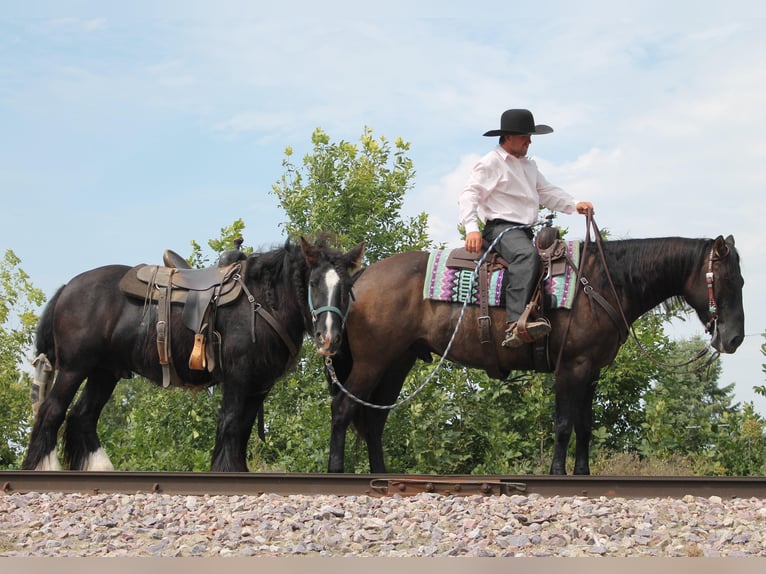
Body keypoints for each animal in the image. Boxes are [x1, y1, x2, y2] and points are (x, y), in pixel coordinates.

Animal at [21, 236, 364, 474]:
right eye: (313, 282)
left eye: (347, 286)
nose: (329, 337)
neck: (262, 302)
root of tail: (67, 288)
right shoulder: (238, 377)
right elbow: (230, 424)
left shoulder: (258, 385)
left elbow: (242, 430)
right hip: (74, 368)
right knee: (52, 411)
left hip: (104, 372)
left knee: (82, 416)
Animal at [328, 232, 744, 474]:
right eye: (727, 279)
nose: (734, 339)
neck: (606, 282)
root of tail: (361, 276)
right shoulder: (571, 367)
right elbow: (563, 426)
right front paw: (558, 475)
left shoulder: (591, 372)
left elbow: (585, 427)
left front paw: (582, 475)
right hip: (372, 362)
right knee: (344, 409)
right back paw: (336, 471)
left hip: (396, 363)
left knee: (373, 419)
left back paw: (380, 475)